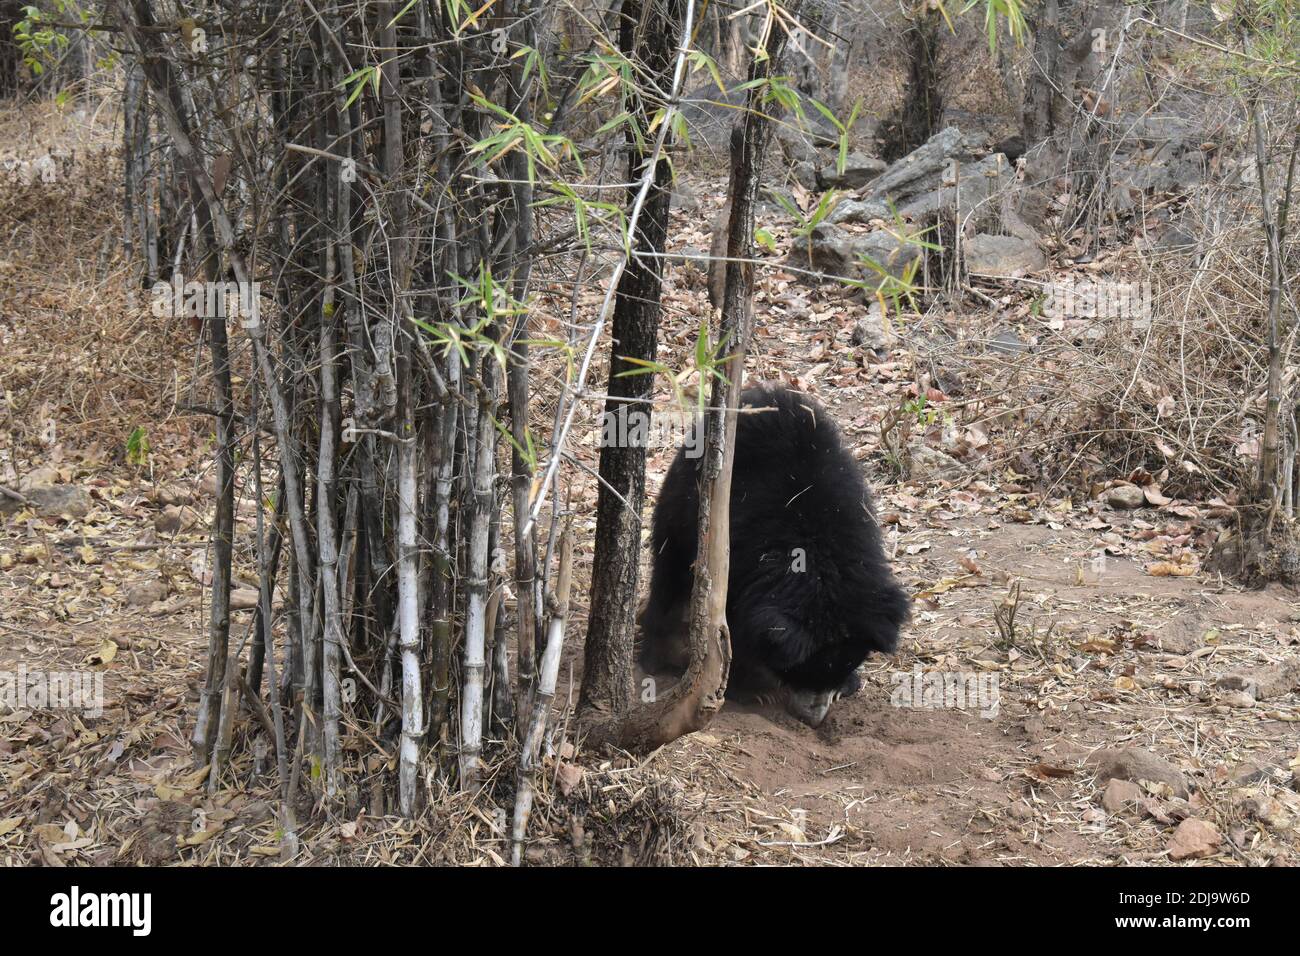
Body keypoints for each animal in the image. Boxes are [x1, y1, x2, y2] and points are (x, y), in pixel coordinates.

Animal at [637, 382, 904, 723]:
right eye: (802, 671)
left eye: (846, 663)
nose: (813, 718)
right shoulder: (743, 555)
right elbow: (730, 627)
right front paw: (750, 689)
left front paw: (849, 685)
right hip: (684, 508)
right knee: (668, 571)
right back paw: (655, 656)